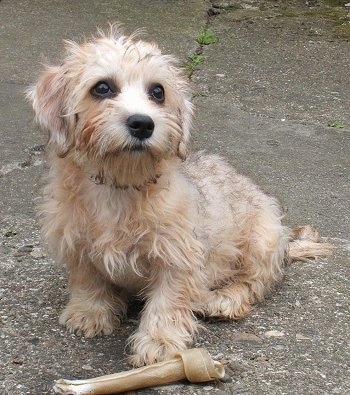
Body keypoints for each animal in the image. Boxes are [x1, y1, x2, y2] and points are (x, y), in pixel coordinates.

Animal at [26, 25, 332, 368]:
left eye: (158, 92)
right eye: (102, 88)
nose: (143, 123)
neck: (120, 186)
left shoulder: (177, 255)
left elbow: (168, 302)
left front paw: (159, 342)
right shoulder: (75, 243)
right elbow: (87, 280)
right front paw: (89, 312)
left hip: (261, 241)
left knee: (252, 283)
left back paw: (224, 300)